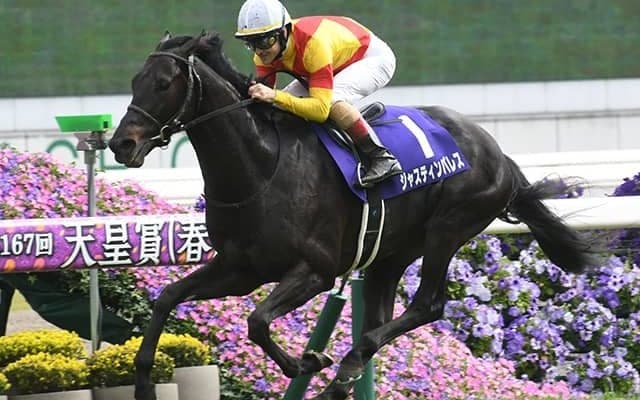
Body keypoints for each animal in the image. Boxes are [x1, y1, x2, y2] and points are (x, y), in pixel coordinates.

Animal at [108, 32, 599, 400]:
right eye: (134, 79)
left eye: (164, 83)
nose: (121, 144)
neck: (261, 167)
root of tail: (497, 152)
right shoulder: (240, 268)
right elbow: (168, 298)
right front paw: (143, 382)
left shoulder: (315, 271)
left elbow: (257, 321)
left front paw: (308, 359)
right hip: (391, 253)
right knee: (381, 316)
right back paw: (346, 375)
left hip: (449, 227)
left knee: (427, 305)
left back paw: (343, 368)